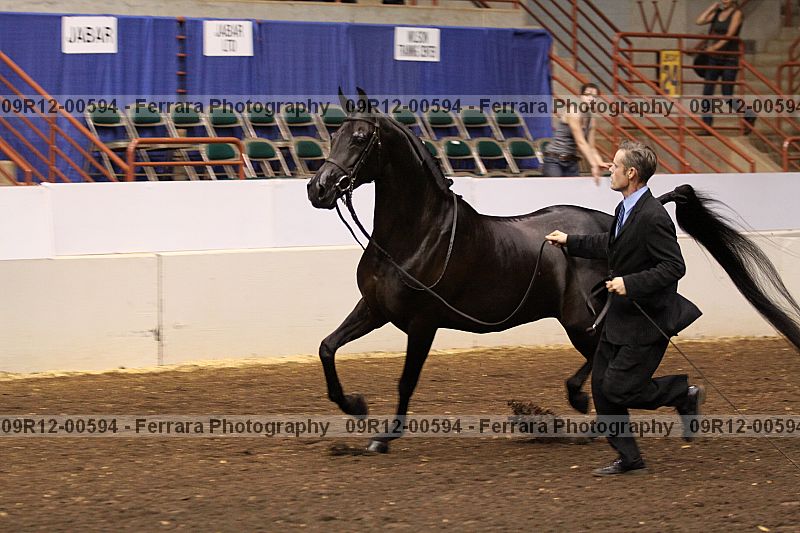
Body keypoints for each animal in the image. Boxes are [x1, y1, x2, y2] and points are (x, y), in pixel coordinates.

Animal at [306, 90, 800, 454]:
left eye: (360, 137)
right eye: (334, 132)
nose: (318, 189)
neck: (417, 235)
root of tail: (612, 226)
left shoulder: (422, 324)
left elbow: (406, 380)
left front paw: (383, 438)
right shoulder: (375, 308)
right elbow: (327, 347)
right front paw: (354, 405)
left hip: (581, 319)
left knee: (608, 358)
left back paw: (594, 405)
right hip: (586, 318)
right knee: (606, 360)